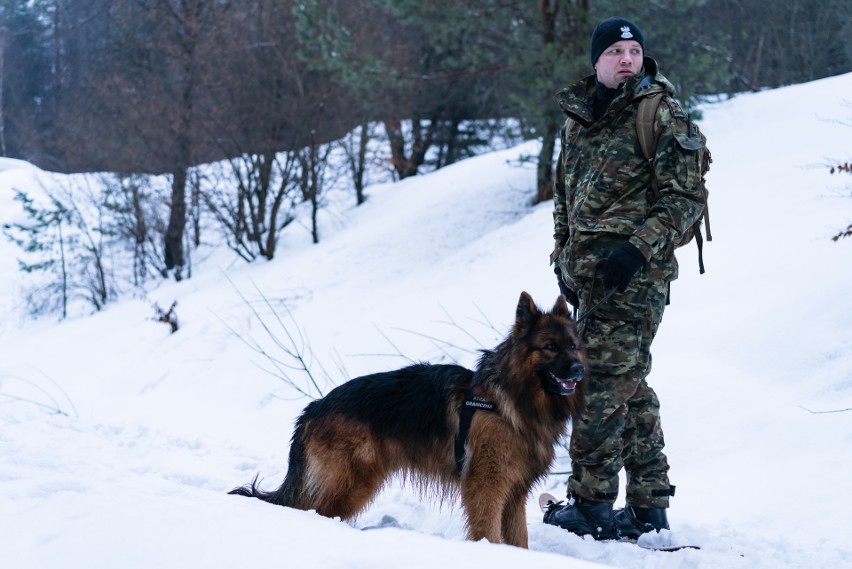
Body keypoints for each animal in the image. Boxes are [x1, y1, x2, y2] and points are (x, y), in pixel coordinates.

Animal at [228, 290, 584, 548]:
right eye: (550, 347)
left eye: (573, 346)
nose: (579, 370)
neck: (509, 398)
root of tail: (314, 406)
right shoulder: (486, 485)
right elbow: (487, 532)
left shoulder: (514, 492)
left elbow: (518, 539)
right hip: (351, 482)